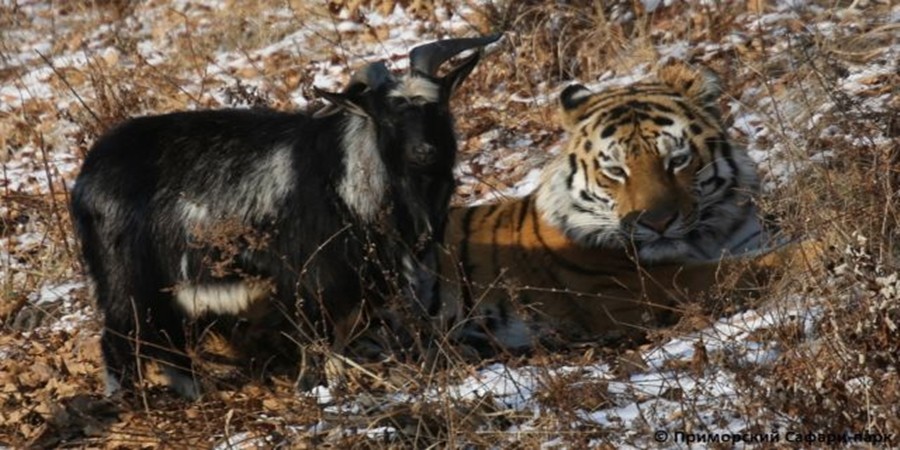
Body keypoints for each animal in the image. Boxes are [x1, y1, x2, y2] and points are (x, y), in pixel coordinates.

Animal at [70, 36, 502, 400]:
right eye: (388, 119)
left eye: (438, 107)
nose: (425, 152)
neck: (349, 175)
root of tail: (87, 176)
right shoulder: (312, 279)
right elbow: (318, 343)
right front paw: (316, 392)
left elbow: (337, 343)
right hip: (127, 280)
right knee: (120, 341)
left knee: (167, 342)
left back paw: (196, 394)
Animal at [436, 60, 800, 356]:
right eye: (615, 170)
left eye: (677, 160)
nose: (657, 223)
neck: (709, 237)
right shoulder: (640, 288)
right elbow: (753, 266)